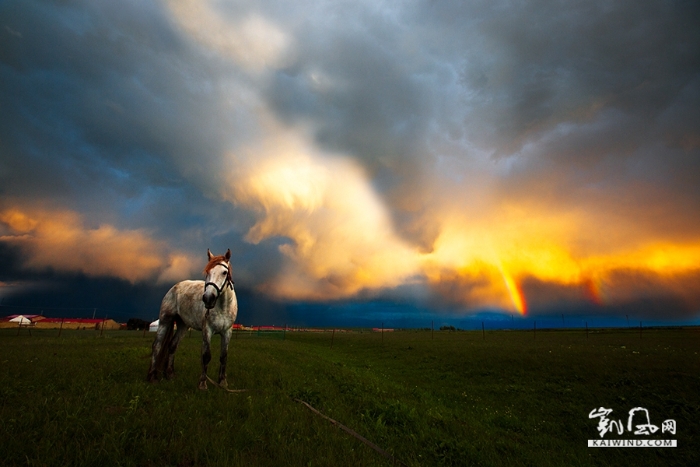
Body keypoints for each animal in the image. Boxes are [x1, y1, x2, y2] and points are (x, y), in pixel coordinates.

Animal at [147, 249, 238, 392]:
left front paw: (223, 383)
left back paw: (170, 375)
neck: (223, 306)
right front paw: (202, 384)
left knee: (172, 345)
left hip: (183, 325)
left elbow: (224, 357)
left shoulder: (227, 332)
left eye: (224, 272)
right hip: (165, 320)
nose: (208, 298)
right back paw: (153, 377)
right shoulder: (207, 330)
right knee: (157, 345)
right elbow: (206, 356)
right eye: (207, 272)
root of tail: (175, 286)